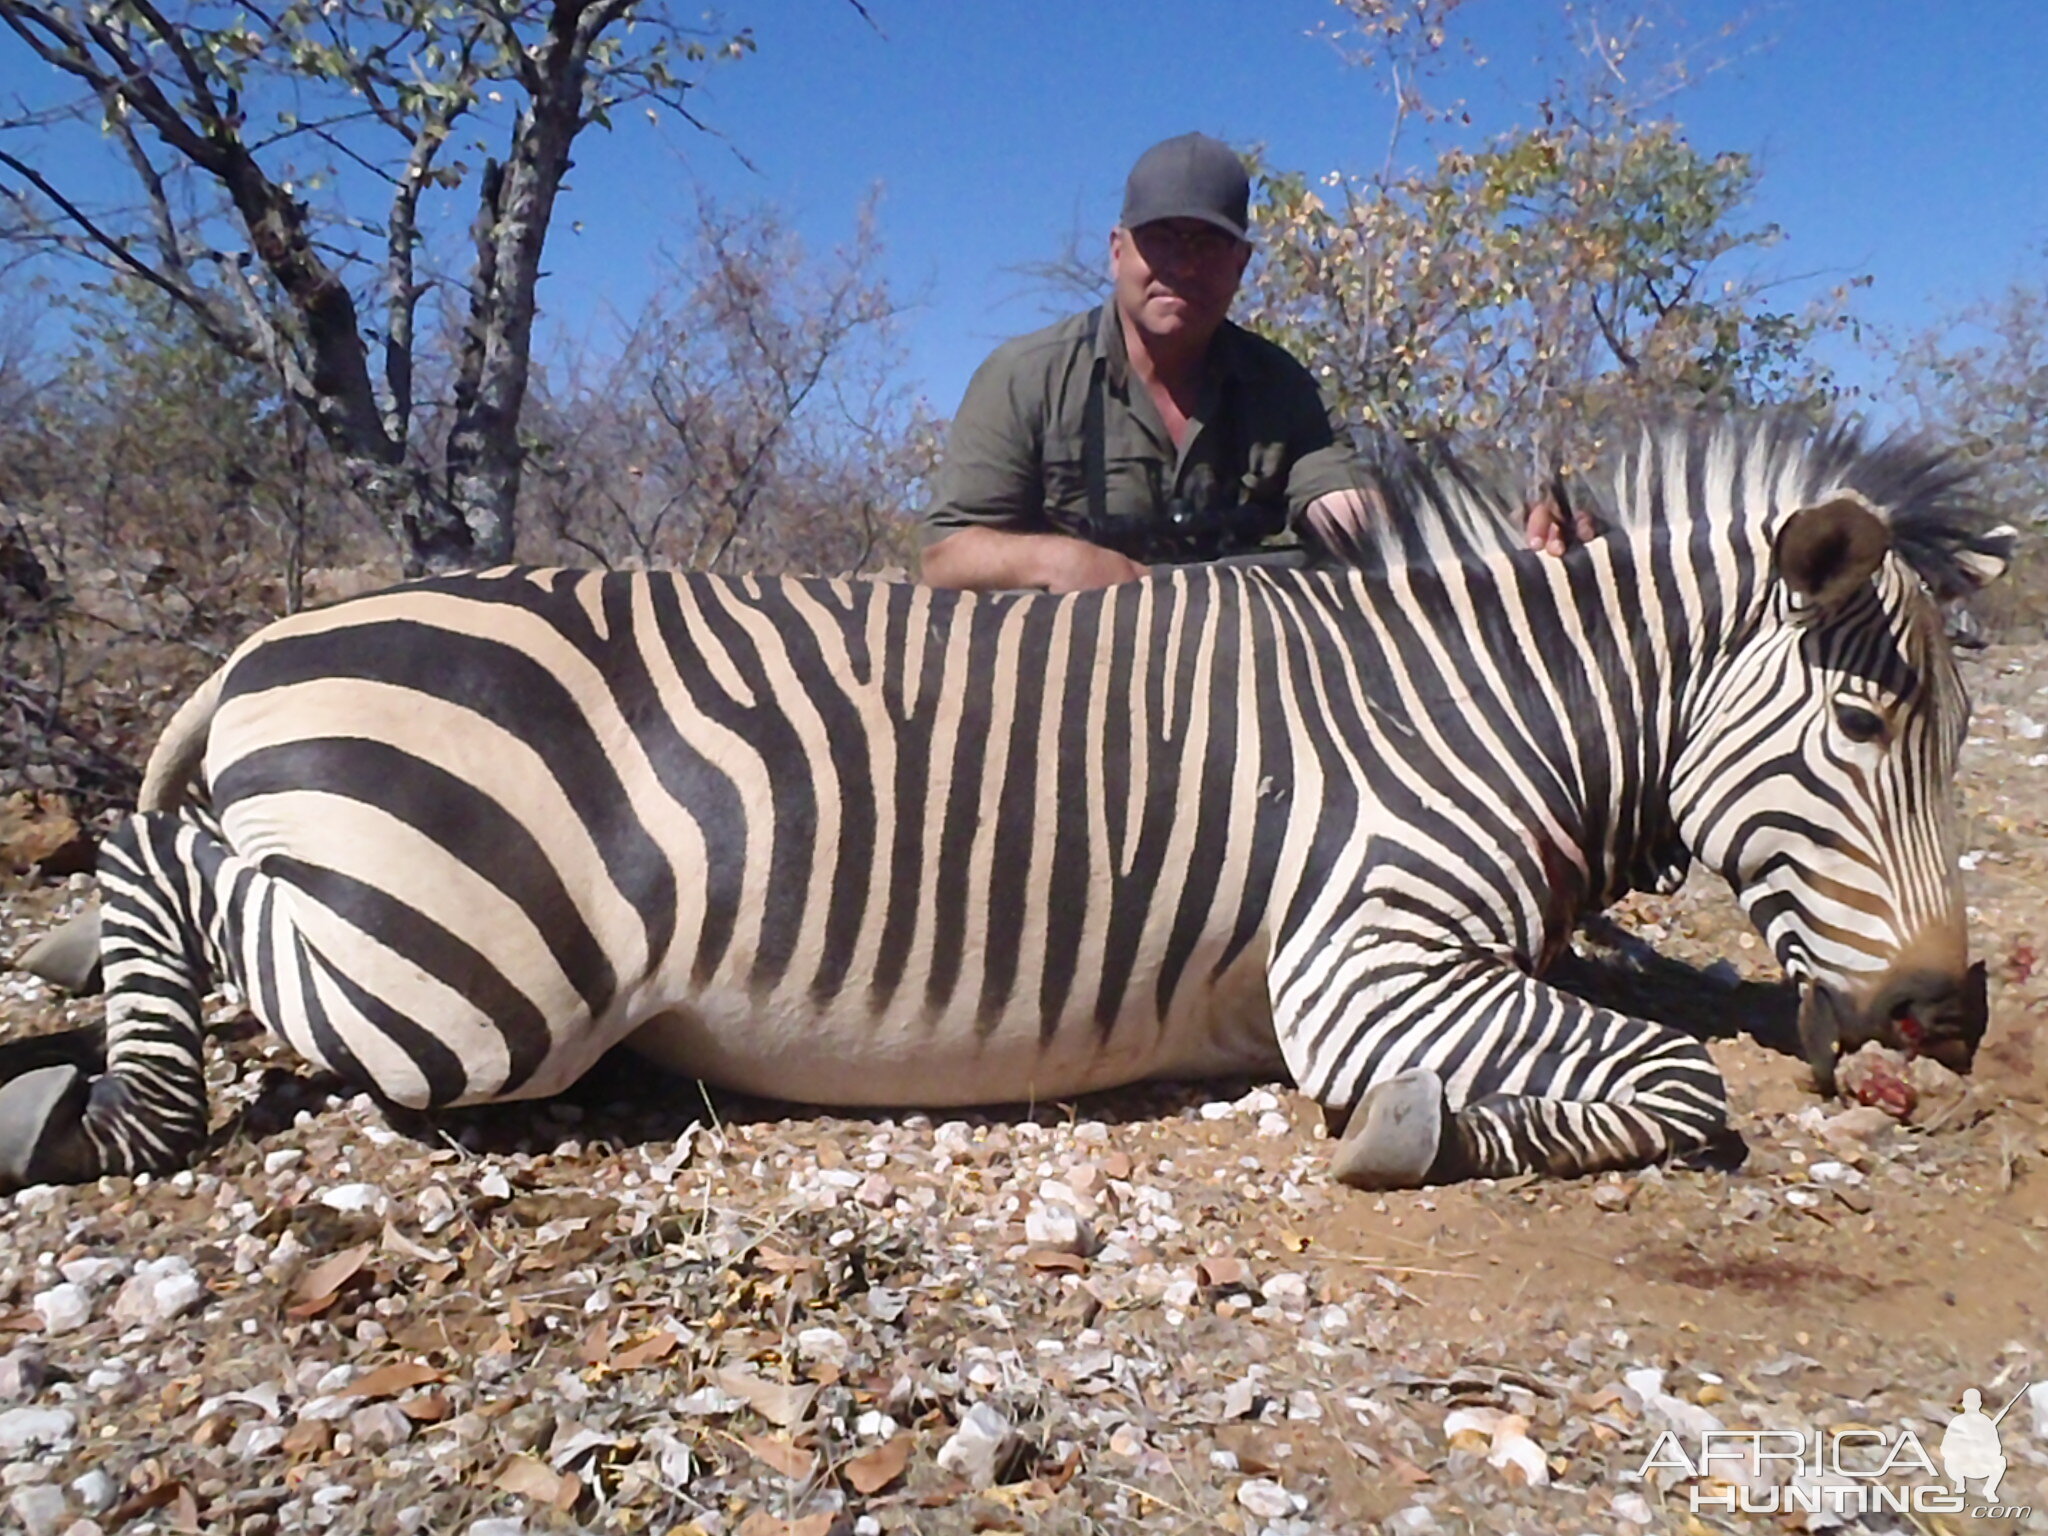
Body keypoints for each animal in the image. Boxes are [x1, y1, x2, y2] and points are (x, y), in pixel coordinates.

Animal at [0, 415, 2015, 1196]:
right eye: (1863, 720)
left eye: (1952, 732)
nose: (1954, 1014)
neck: (1471, 709)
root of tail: (276, 640)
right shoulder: (1362, 961)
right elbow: (1671, 1085)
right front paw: (1418, 1131)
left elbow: (1670, 1023)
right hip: (466, 988)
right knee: (157, 850)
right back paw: (93, 1110)